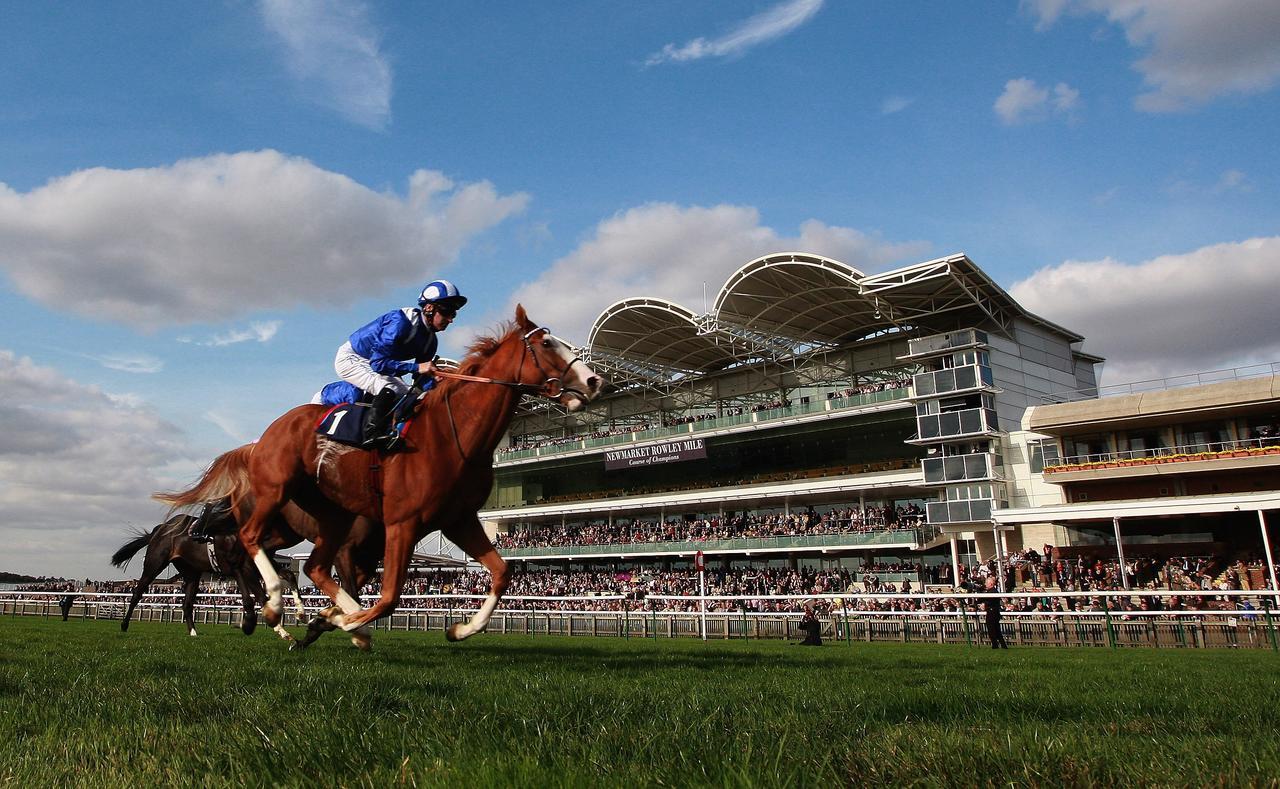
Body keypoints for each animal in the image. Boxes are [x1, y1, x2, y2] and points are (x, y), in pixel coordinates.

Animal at [156, 304, 604, 642]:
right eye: (546, 343)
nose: (594, 379)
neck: (451, 433)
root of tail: (260, 440)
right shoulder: (401, 523)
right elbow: (388, 598)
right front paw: (342, 621)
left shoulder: (457, 519)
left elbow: (501, 572)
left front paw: (459, 628)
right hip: (274, 494)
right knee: (250, 544)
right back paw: (277, 606)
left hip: (322, 517)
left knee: (308, 565)